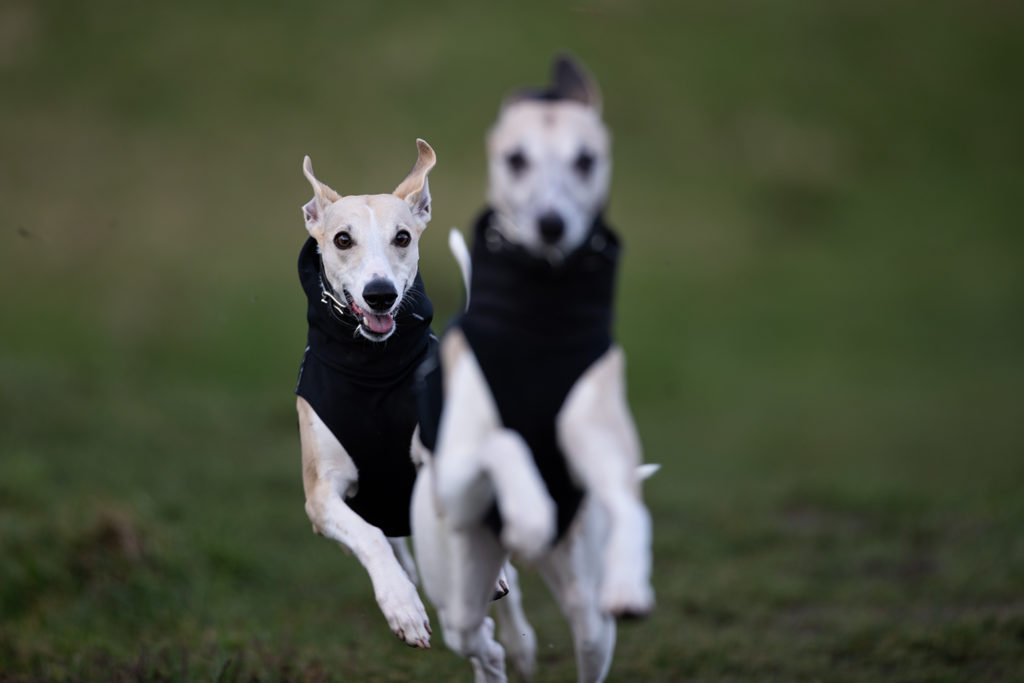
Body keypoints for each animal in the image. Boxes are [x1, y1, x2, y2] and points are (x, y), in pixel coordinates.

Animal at [409, 54, 655, 683]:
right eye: (516, 158)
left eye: (586, 159)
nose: (551, 224)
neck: (540, 319)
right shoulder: (460, 466)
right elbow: (503, 441)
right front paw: (527, 506)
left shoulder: (597, 435)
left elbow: (623, 491)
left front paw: (629, 573)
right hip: (457, 584)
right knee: (477, 633)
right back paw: (503, 648)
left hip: (587, 613)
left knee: (586, 629)